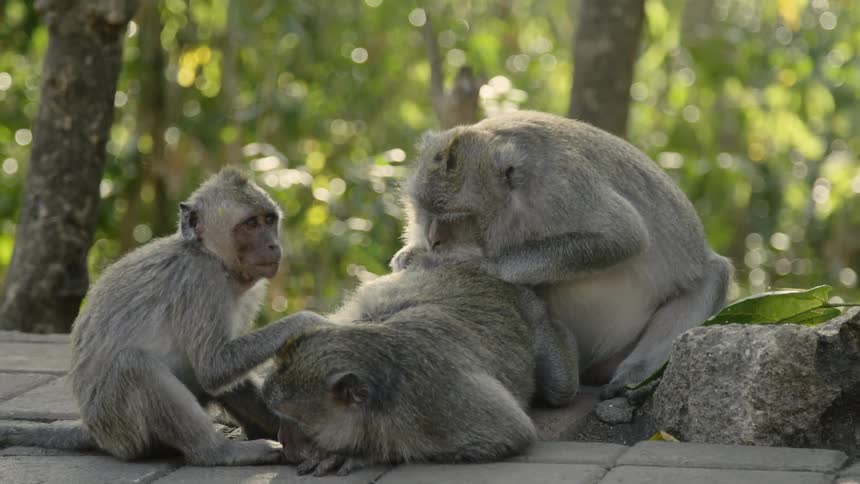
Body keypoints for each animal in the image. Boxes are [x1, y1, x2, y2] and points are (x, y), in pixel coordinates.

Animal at [0, 168, 327, 465]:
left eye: (269, 220)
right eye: (250, 224)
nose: (273, 244)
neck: (212, 257)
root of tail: (95, 431)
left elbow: (221, 372)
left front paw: (283, 420)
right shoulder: (201, 280)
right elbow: (214, 366)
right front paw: (307, 321)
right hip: (120, 426)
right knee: (135, 366)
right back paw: (218, 452)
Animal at [261, 250, 579, 476]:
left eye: (293, 421)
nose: (283, 440)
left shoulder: (434, 396)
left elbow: (510, 431)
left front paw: (360, 453)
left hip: (530, 306)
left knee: (560, 387)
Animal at [390, 110, 733, 398]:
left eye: (455, 218)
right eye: (424, 211)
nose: (434, 240)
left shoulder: (561, 187)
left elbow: (624, 236)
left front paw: (480, 264)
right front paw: (409, 255)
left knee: (714, 276)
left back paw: (631, 375)